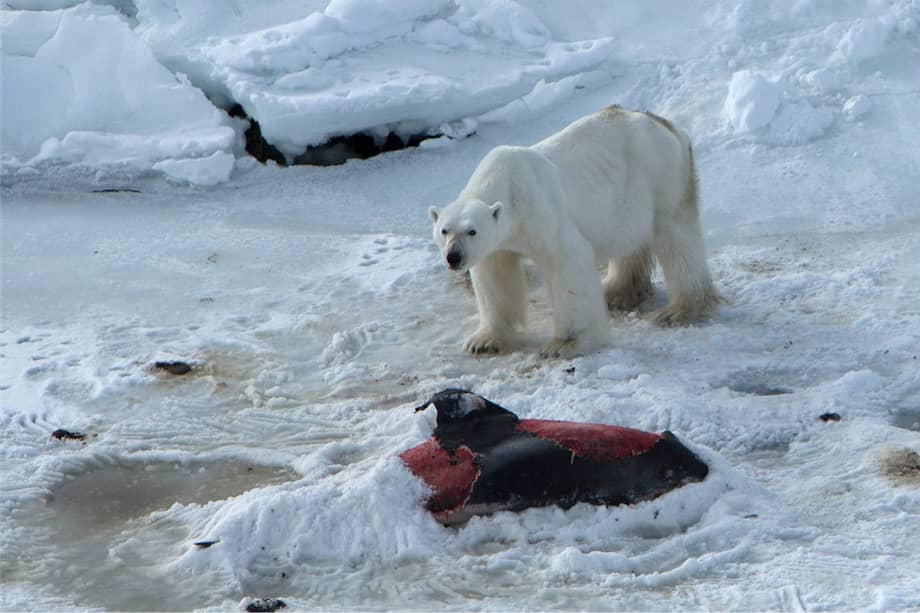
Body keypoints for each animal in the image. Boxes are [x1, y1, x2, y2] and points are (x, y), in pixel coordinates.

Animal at [429, 105, 720, 358]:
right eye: (444, 230)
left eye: (472, 231)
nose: (453, 257)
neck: (507, 183)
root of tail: (666, 124)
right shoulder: (498, 244)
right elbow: (495, 275)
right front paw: (484, 341)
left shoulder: (541, 212)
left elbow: (566, 261)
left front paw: (565, 344)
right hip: (624, 200)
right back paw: (615, 291)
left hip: (660, 176)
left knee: (677, 236)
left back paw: (680, 309)